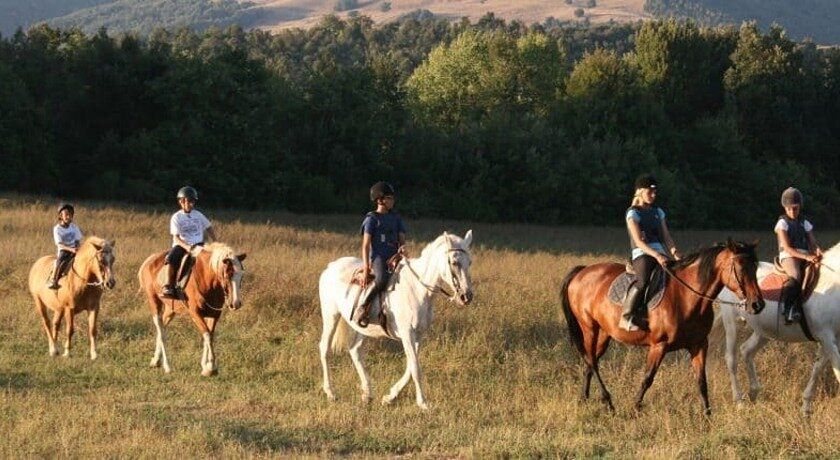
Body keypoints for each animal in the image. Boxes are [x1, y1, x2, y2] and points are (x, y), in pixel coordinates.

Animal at [138, 243, 246, 376]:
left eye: (241, 276)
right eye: (228, 274)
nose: (235, 303)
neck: (206, 279)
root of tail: (149, 260)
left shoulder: (214, 314)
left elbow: (209, 335)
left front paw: (205, 367)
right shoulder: (195, 313)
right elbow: (207, 335)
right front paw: (211, 368)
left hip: (170, 309)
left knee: (162, 328)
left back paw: (156, 361)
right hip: (154, 302)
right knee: (161, 331)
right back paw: (167, 366)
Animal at [318, 230, 472, 410]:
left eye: (470, 262)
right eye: (454, 262)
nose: (466, 297)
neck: (417, 289)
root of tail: (331, 266)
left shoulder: (418, 335)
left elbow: (410, 367)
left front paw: (390, 397)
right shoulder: (407, 334)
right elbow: (415, 368)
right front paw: (423, 403)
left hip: (362, 327)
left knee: (355, 350)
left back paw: (367, 394)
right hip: (331, 316)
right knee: (325, 348)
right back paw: (331, 393)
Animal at [560, 239, 764, 416]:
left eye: (755, 267)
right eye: (740, 268)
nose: (757, 305)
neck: (686, 297)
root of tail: (582, 271)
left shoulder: (699, 345)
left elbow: (701, 381)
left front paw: (707, 415)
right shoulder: (659, 345)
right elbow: (647, 378)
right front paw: (634, 409)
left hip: (605, 333)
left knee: (590, 360)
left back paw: (584, 398)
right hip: (589, 327)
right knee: (592, 360)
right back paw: (608, 401)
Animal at [716, 243, 840, 416]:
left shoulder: (830, 340)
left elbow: (818, 367)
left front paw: (805, 409)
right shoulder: (826, 337)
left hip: (763, 332)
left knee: (746, 350)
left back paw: (754, 392)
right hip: (732, 322)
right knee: (731, 359)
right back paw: (739, 402)